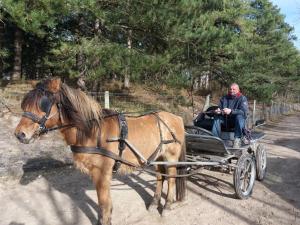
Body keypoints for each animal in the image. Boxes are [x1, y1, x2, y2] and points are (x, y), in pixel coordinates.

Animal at [14, 78, 188, 225]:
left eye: (43, 104)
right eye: (25, 105)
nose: (19, 134)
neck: (92, 132)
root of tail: (177, 118)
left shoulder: (102, 172)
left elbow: (104, 203)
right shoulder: (96, 173)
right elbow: (103, 203)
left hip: (171, 157)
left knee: (171, 179)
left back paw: (167, 206)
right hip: (158, 156)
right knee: (160, 177)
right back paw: (153, 204)